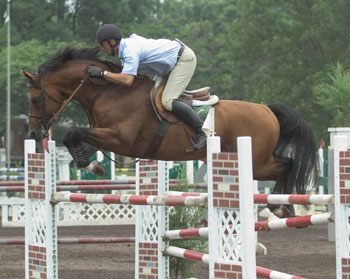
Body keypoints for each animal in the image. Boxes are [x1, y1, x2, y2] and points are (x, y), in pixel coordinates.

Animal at [20, 46, 318, 218]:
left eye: (35, 99)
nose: (34, 134)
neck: (109, 92)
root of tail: (267, 109)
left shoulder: (121, 139)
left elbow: (73, 134)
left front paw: (92, 166)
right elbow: (75, 138)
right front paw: (91, 163)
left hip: (257, 160)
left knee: (286, 165)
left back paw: (281, 205)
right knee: (285, 165)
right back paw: (283, 206)